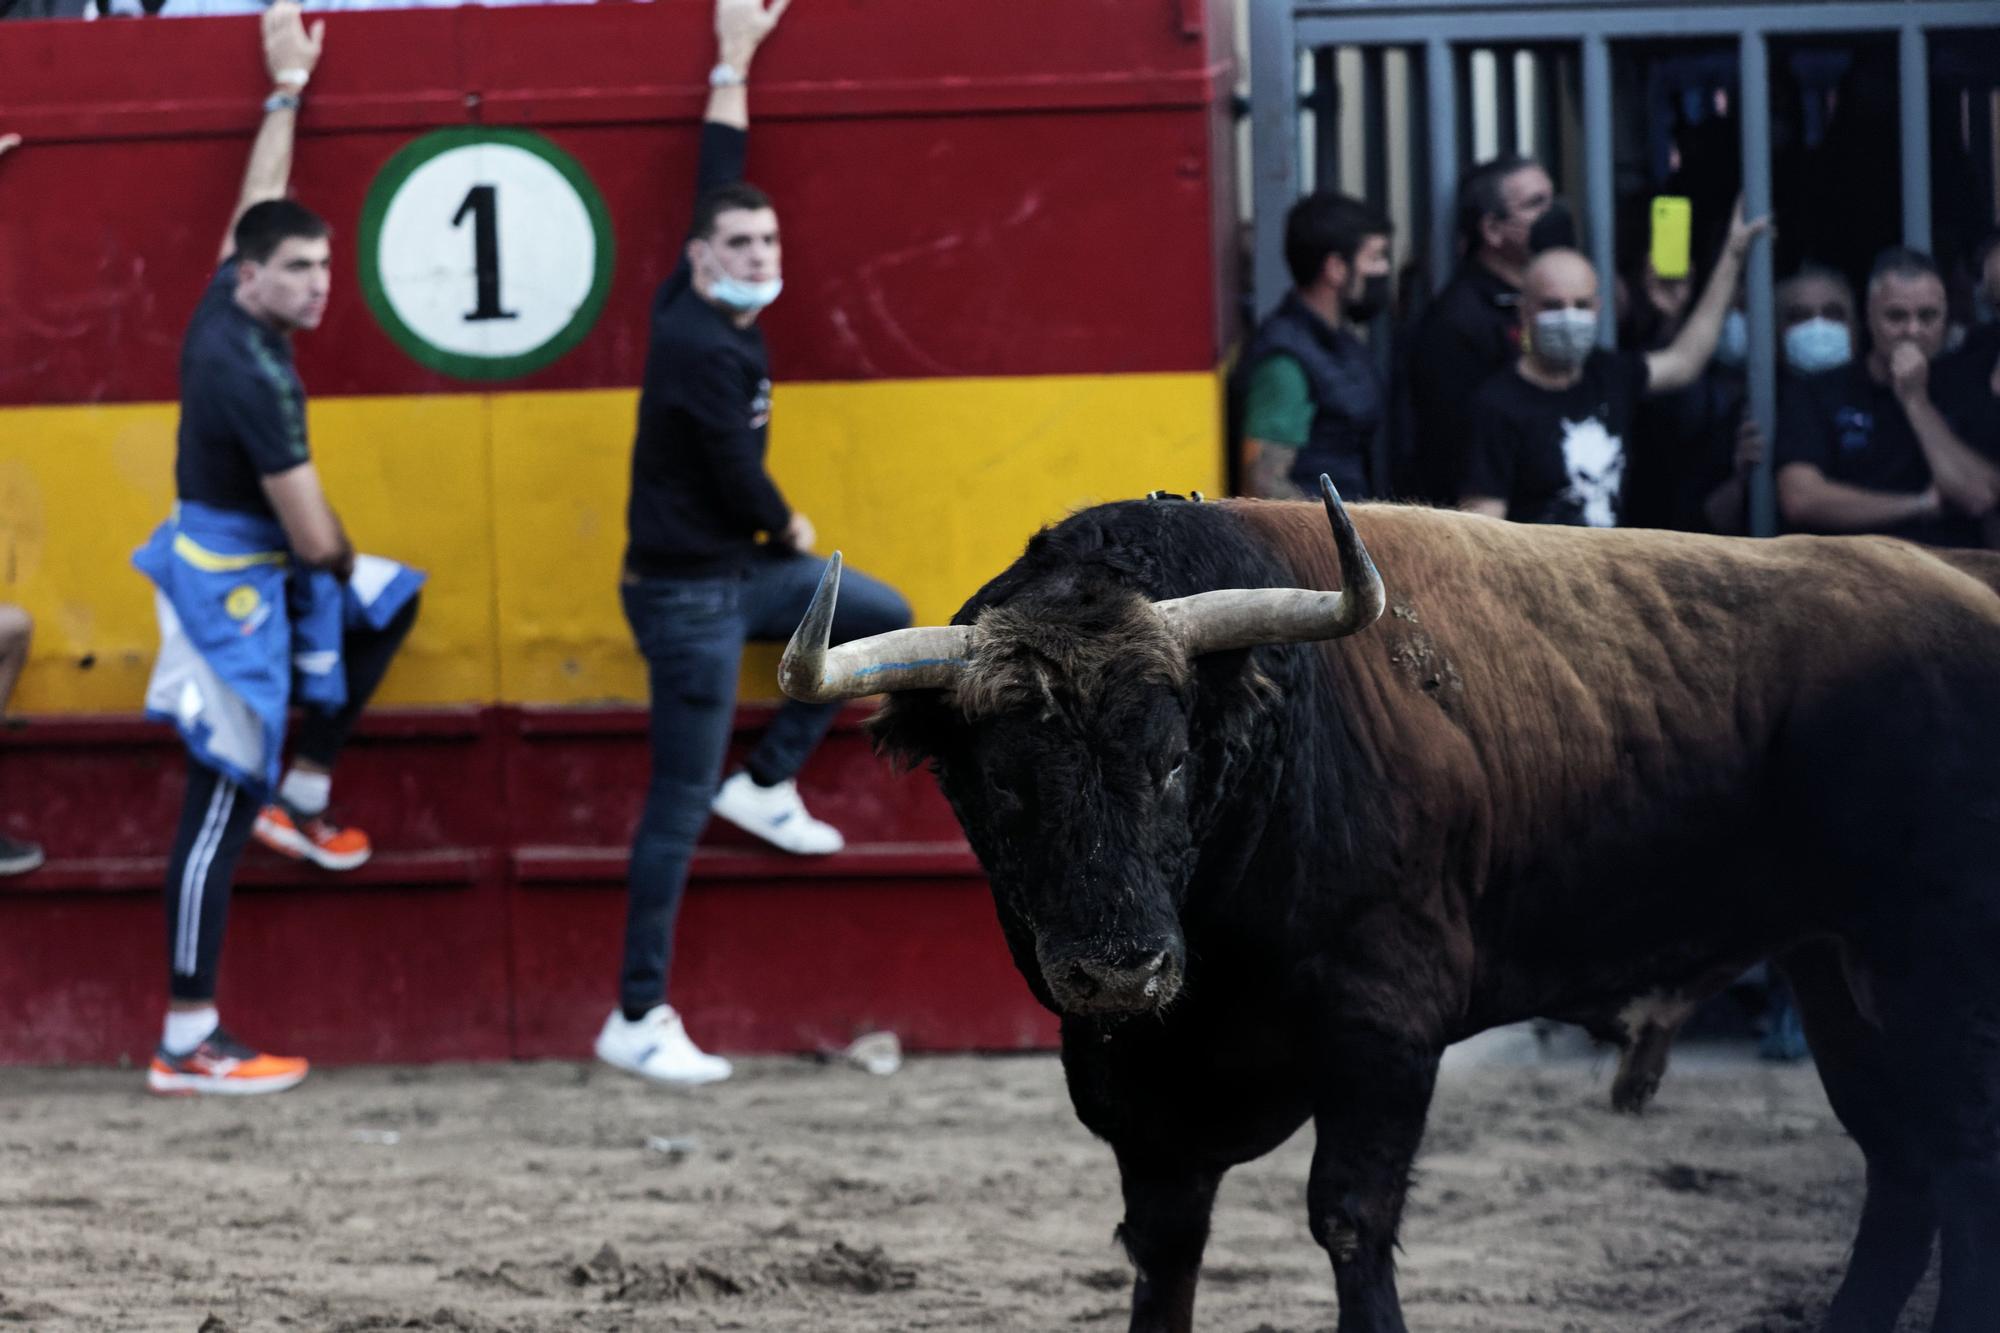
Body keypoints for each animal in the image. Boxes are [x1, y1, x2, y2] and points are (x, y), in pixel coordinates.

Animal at [776, 482, 2000, 1328]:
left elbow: (1351, 1222)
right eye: (999, 786)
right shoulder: (1140, 1096)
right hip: (1836, 974)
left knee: (1959, 1161)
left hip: (1936, 970)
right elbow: (1163, 1251)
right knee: (1905, 1170)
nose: (1118, 969)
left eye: (1172, 760)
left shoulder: (1385, 1035)